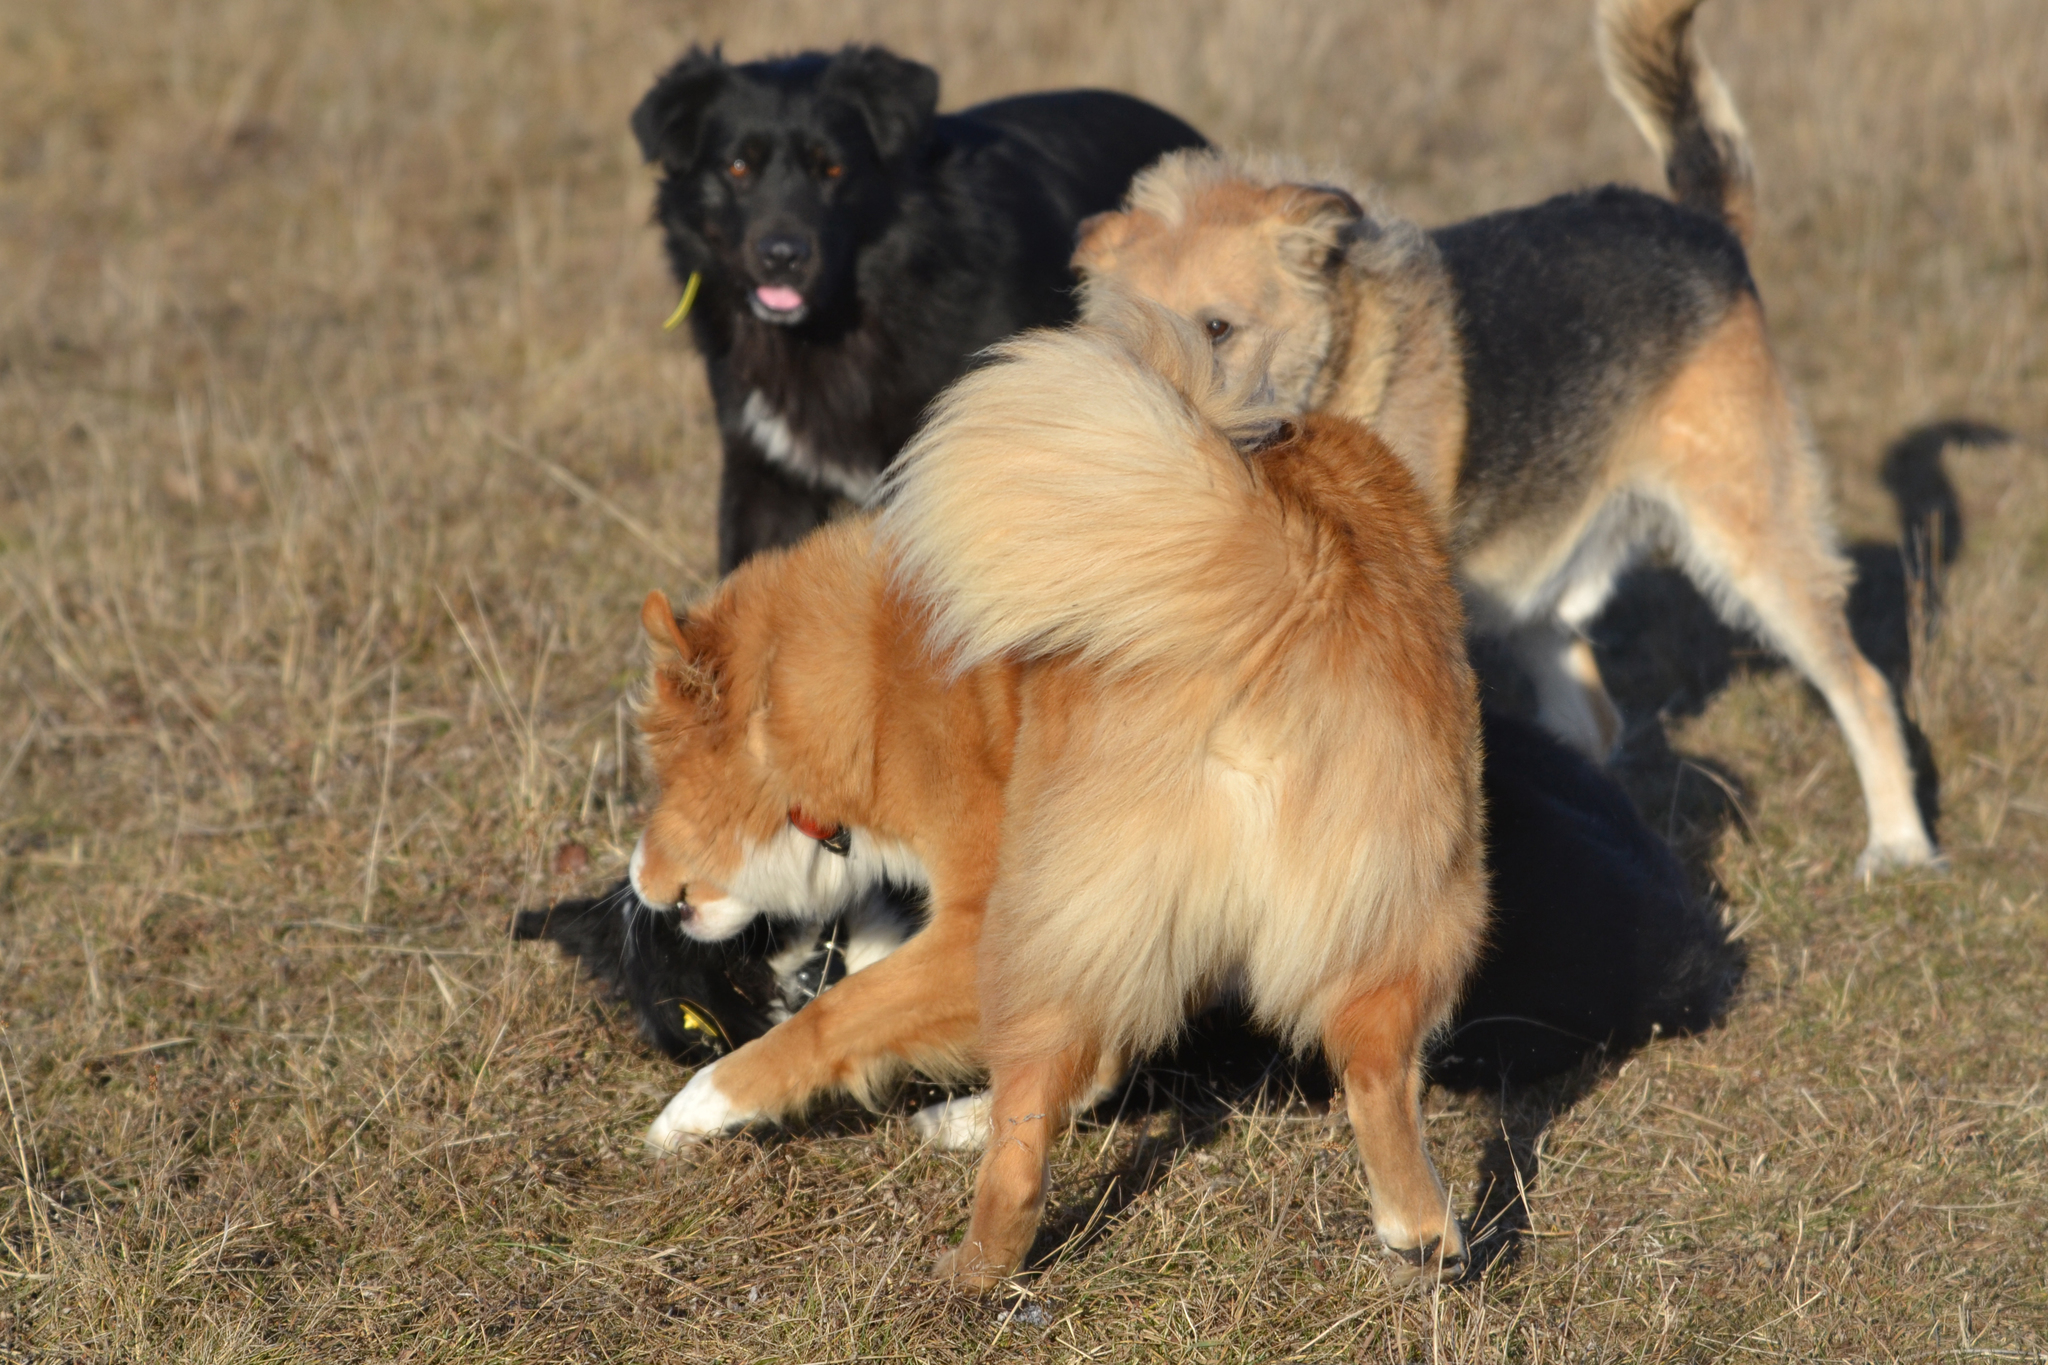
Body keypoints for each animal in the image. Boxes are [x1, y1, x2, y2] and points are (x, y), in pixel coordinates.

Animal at [1073, 0, 1933, 875]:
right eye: (1122, 341)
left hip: (1753, 539)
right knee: (1594, 724)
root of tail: (1700, 221)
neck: (1343, 375)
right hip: (1542, 600)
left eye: (1218, 329)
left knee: (1863, 686)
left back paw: (1900, 844)